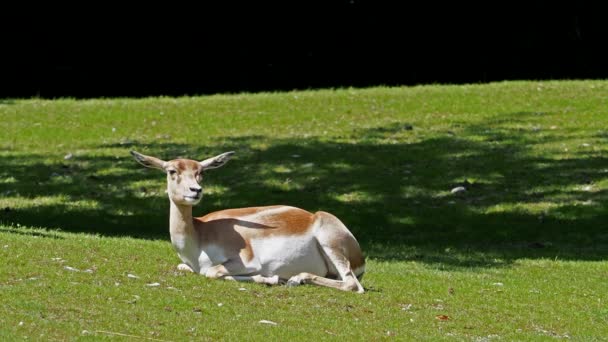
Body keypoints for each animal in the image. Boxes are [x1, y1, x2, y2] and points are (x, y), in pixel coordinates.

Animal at [132, 151, 366, 292]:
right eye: (172, 171)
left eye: (201, 172)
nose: (195, 190)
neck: (199, 236)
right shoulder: (187, 265)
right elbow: (188, 268)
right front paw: (272, 279)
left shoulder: (247, 261)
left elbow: (212, 272)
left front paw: (271, 278)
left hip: (331, 244)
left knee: (351, 284)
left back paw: (295, 279)